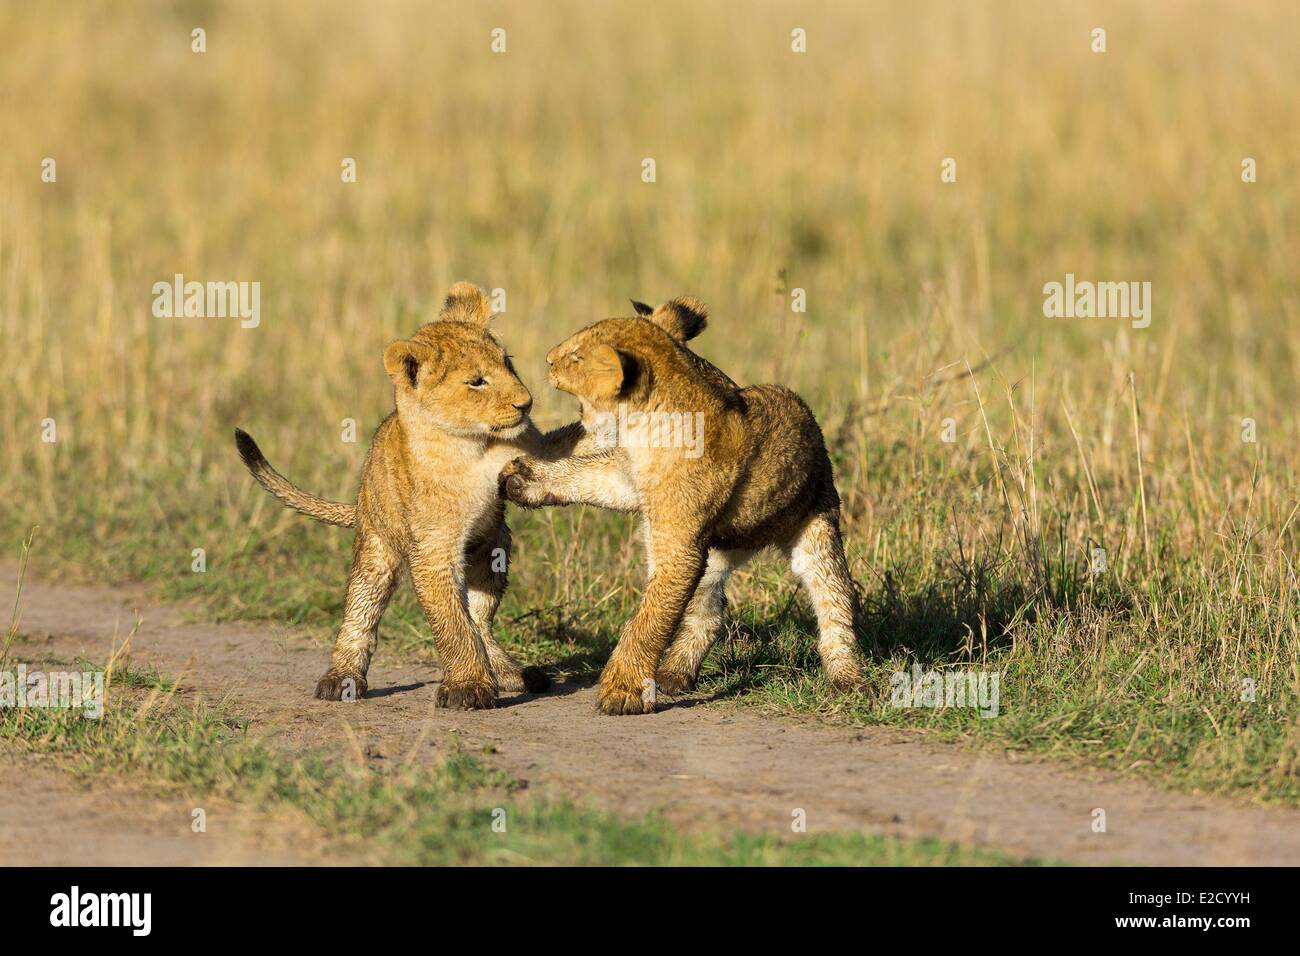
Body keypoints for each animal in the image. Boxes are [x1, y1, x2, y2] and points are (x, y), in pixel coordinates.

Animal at [235, 282, 590, 709]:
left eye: (508, 363)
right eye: (477, 382)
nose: (526, 403)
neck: (471, 444)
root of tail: (362, 495)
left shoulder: (534, 449)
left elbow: (571, 445)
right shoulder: (433, 549)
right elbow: (451, 624)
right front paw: (468, 687)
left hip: (494, 548)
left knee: (480, 618)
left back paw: (512, 674)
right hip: (377, 548)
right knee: (362, 612)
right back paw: (341, 679)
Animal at [499, 296, 867, 715]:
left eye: (577, 356)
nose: (548, 359)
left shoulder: (679, 548)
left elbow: (647, 621)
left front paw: (621, 692)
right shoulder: (632, 480)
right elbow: (585, 476)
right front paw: (522, 480)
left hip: (815, 529)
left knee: (835, 604)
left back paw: (847, 680)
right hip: (715, 552)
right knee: (709, 613)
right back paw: (674, 675)